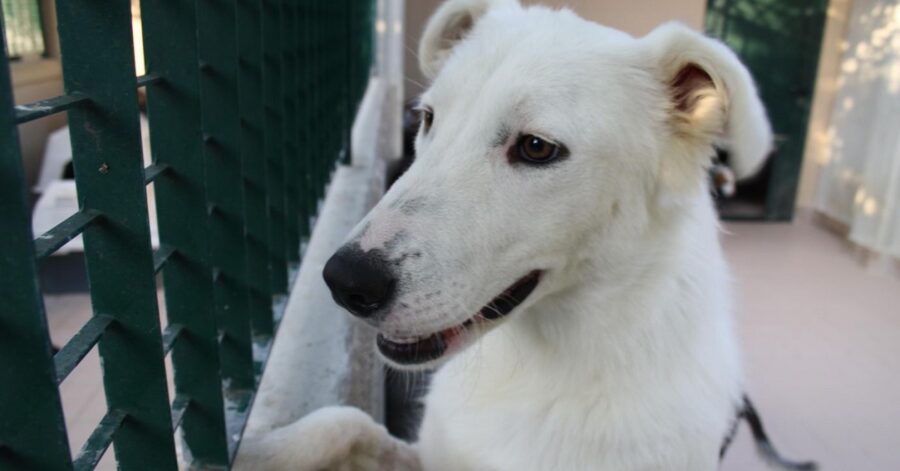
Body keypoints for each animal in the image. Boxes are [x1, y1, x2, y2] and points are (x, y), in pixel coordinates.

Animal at [246, 1, 816, 470]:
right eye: (427, 118)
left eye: (537, 148)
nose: (344, 281)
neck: (548, 369)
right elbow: (345, 420)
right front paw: (264, 449)